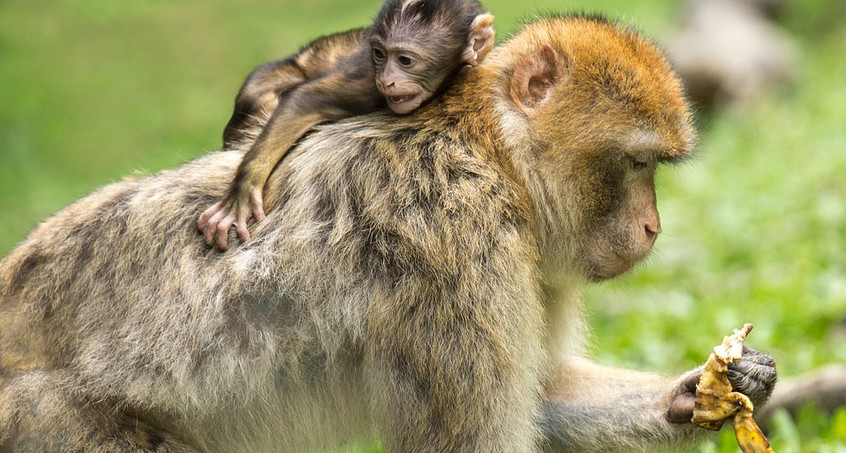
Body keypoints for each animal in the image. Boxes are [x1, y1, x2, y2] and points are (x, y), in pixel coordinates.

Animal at [200, 0, 496, 249]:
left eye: (405, 60)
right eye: (379, 54)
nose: (387, 79)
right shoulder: (367, 81)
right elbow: (305, 101)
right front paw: (242, 193)